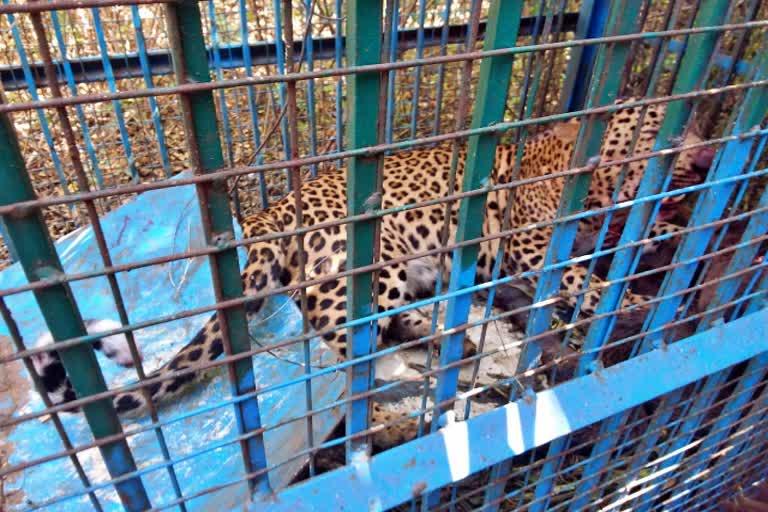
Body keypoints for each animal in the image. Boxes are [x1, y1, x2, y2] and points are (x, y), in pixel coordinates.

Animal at [30, 99, 712, 452]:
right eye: (660, 124)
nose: (707, 148)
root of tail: (269, 213)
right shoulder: (533, 250)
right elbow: (587, 280)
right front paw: (631, 299)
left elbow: (635, 238)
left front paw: (668, 235)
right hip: (366, 257)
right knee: (350, 352)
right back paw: (414, 393)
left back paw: (449, 341)